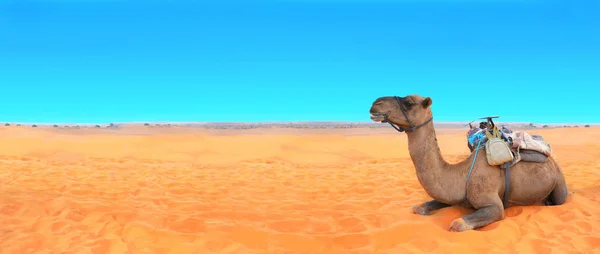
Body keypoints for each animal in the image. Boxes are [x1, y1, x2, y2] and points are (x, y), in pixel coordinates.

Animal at [368, 94, 568, 231]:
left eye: (408, 103)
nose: (375, 104)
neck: (462, 174)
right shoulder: (451, 195)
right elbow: (419, 208)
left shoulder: (494, 206)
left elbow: (457, 223)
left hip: (559, 183)